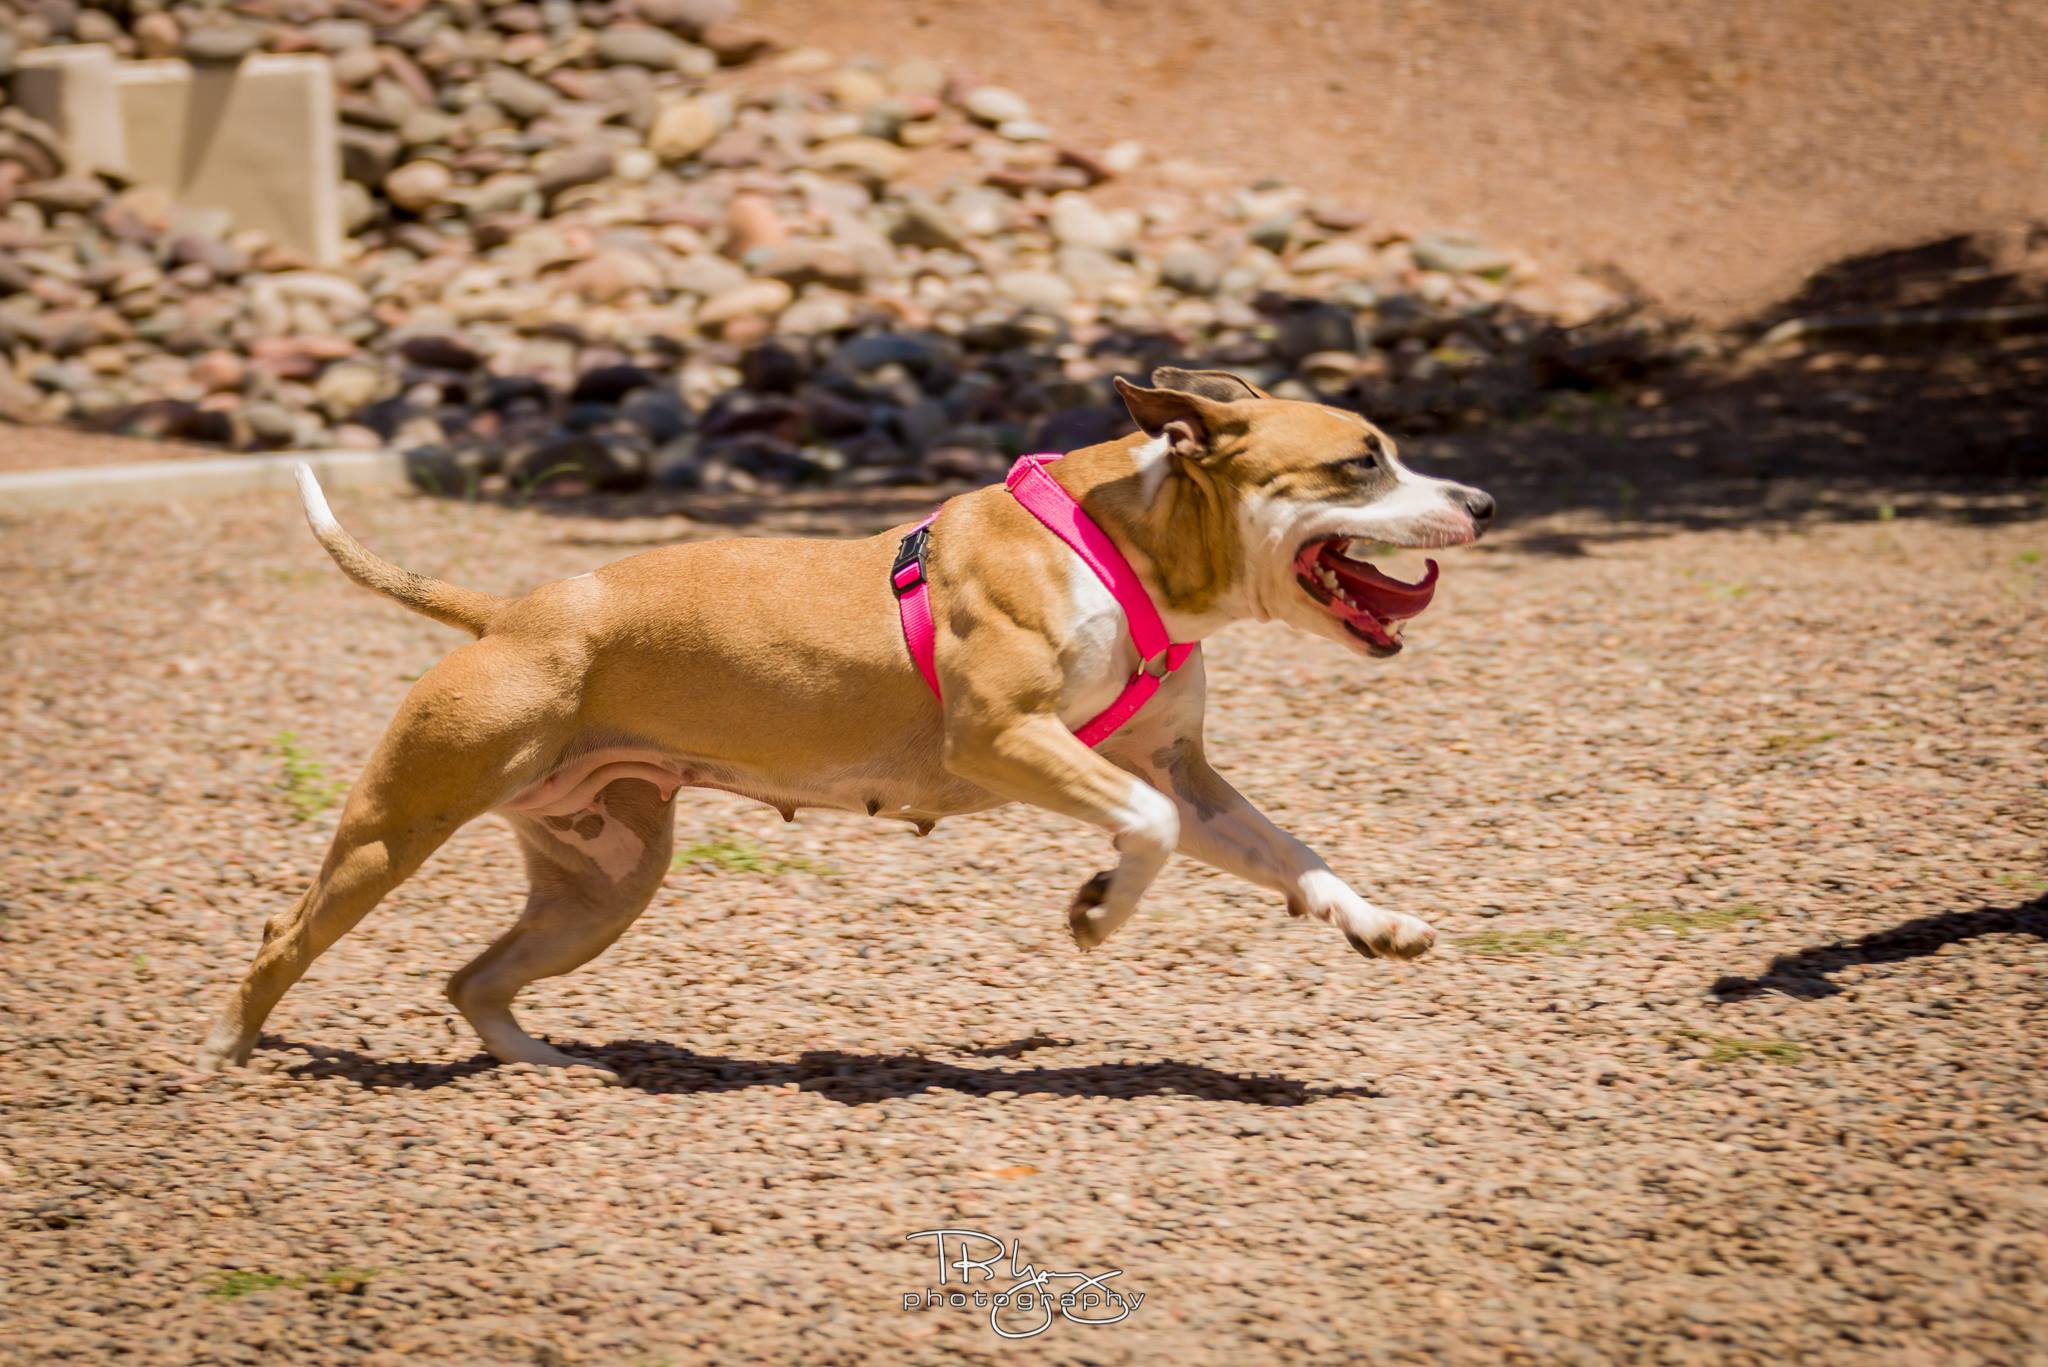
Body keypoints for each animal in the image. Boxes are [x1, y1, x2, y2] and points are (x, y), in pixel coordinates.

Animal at [196, 368, 1494, 1079]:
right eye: (1361, 461)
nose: (1482, 499)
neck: (1127, 546)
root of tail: (509, 612)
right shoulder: (1008, 739)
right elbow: (1144, 828)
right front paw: (1094, 909)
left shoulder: (1179, 765)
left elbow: (1282, 847)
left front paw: (1372, 920)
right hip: (395, 828)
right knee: (283, 936)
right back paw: (231, 1062)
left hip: (604, 877)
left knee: (473, 979)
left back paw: (550, 1070)